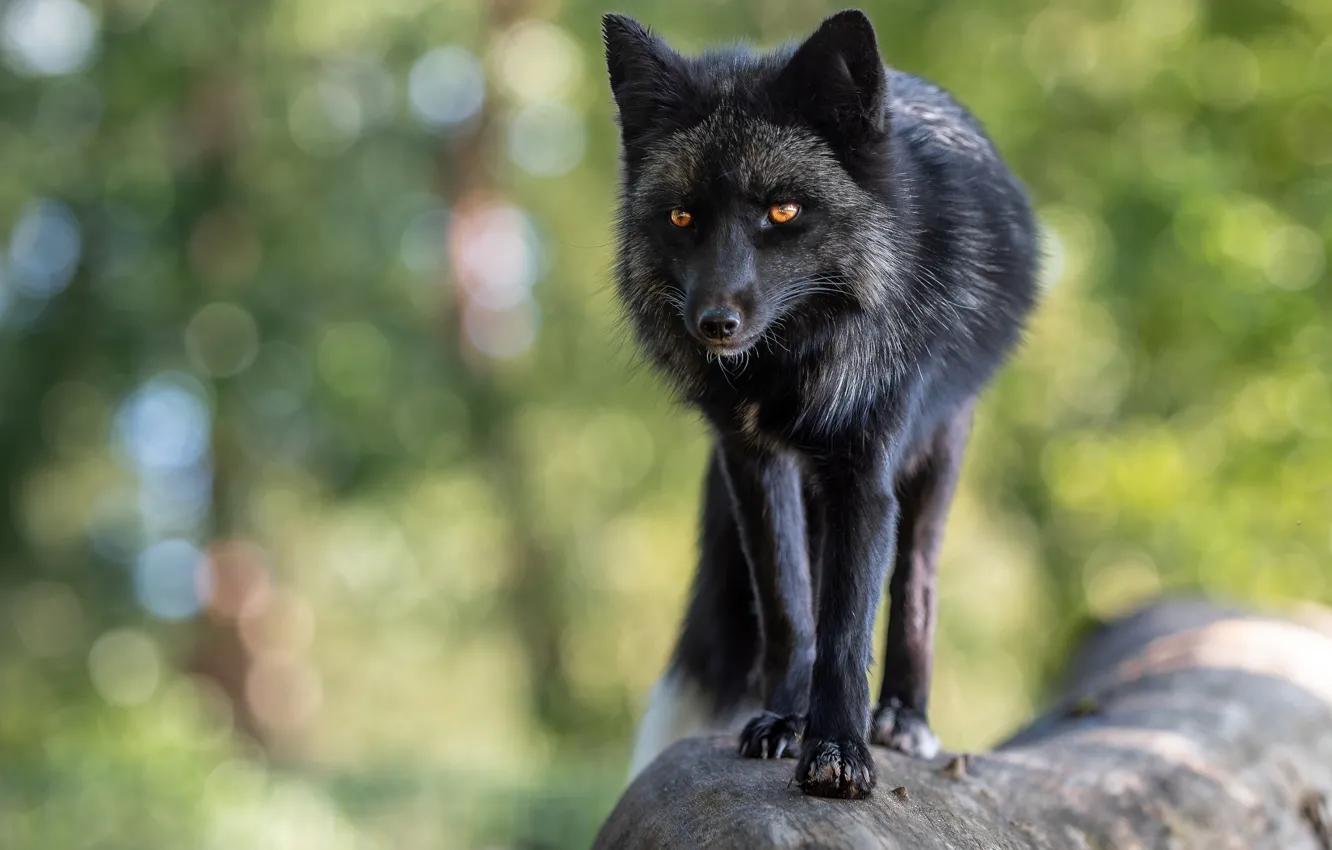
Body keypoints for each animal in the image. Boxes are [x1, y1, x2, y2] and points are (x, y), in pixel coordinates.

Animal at [603, 9, 1040, 799]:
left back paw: (903, 717)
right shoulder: (751, 460)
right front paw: (785, 719)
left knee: (917, 586)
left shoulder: (863, 472)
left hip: (939, 458)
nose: (714, 324)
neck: (786, 368)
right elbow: (788, 610)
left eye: (783, 210)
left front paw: (838, 751)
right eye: (682, 218)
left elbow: (845, 630)